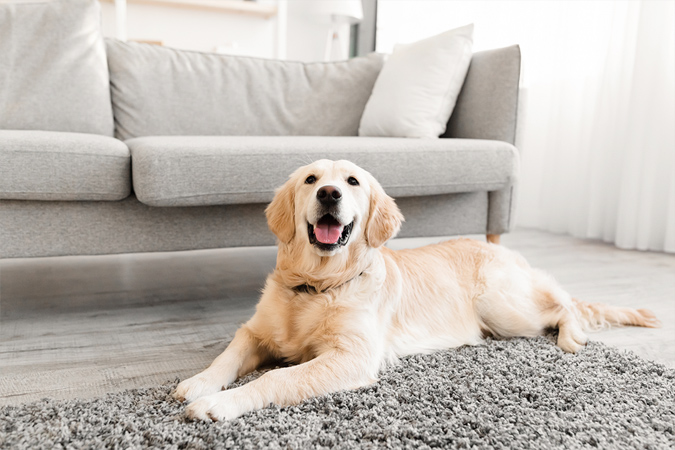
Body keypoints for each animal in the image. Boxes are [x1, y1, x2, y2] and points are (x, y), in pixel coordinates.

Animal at [173, 160, 660, 420]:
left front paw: (220, 403)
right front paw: (197, 383)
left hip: (503, 306)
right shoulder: (255, 332)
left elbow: (277, 376)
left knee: (562, 305)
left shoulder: (352, 356)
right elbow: (227, 356)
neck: (318, 284)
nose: (329, 193)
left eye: (352, 182)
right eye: (311, 180)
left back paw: (572, 337)